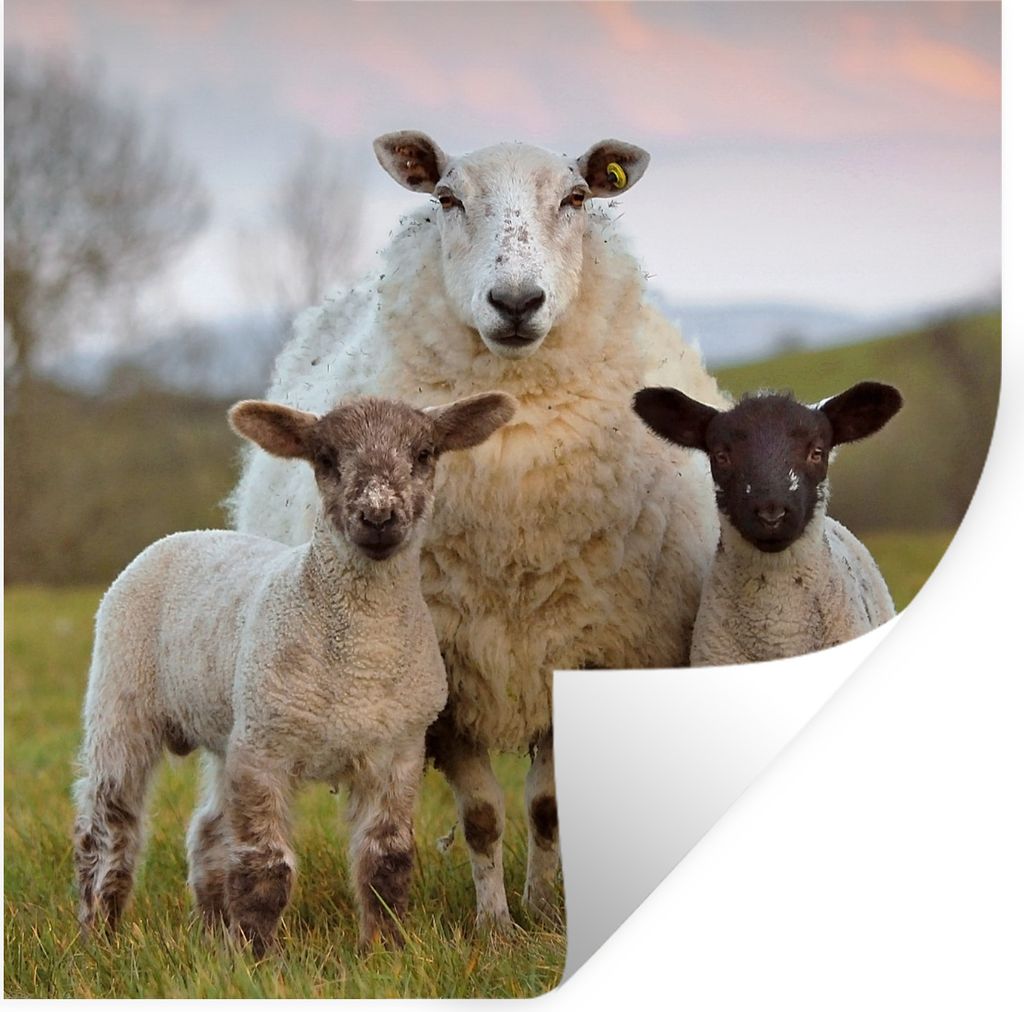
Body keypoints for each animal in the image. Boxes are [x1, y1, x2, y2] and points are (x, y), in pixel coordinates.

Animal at [72, 391, 517, 955]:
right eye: (326, 458)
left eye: (423, 454)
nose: (378, 515)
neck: (359, 658)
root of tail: (188, 534)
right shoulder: (265, 750)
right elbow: (265, 867)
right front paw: (255, 956)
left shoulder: (397, 750)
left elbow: (387, 861)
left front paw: (384, 949)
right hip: (121, 695)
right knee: (108, 824)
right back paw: (99, 931)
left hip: (229, 722)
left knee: (208, 831)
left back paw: (211, 929)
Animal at [229, 131, 728, 929]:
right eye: (447, 198)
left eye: (576, 198)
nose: (516, 301)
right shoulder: (449, 677)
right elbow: (484, 817)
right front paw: (494, 925)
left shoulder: (579, 654)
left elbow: (549, 809)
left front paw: (545, 912)